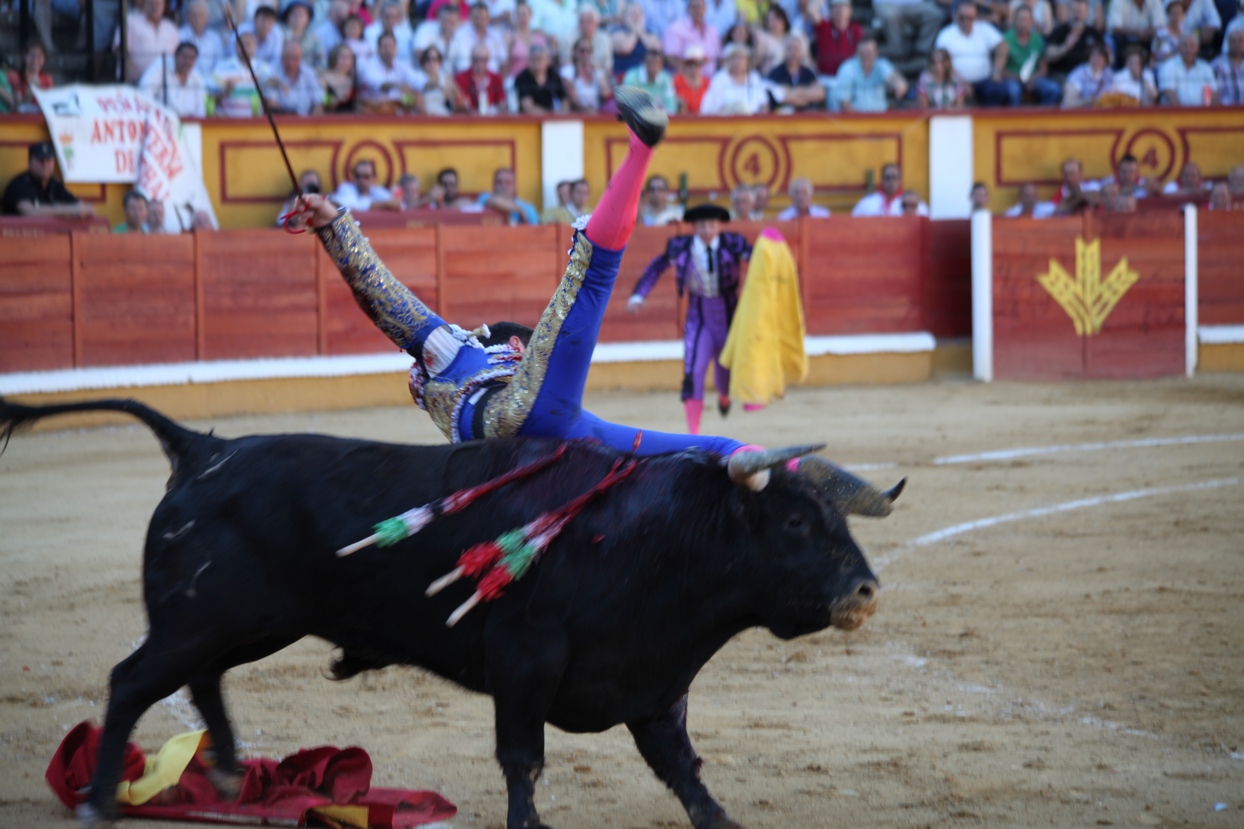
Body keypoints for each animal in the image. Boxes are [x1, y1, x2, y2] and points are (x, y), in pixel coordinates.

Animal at [0, 395, 885, 826]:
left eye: (837, 519)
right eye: (797, 523)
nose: (866, 590)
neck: (654, 536)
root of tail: (202, 448)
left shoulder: (653, 682)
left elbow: (685, 772)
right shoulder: (525, 660)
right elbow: (523, 759)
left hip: (249, 623)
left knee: (202, 679)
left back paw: (219, 769)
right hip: (198, 619)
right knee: (131, 680)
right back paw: (102, 801)